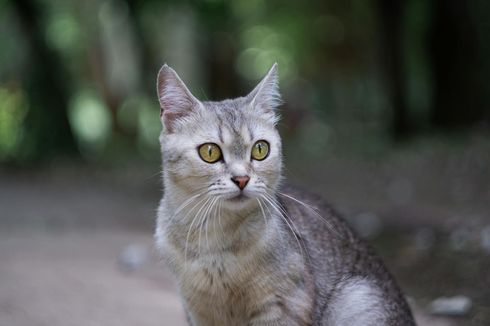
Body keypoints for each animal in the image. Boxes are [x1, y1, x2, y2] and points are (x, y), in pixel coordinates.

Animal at [155, 63, 416, 326]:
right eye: (210, 152)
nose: (242, 179)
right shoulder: (197, 312)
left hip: (358, 301)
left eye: (260, 149)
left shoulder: (284, 305)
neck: (215, 244)